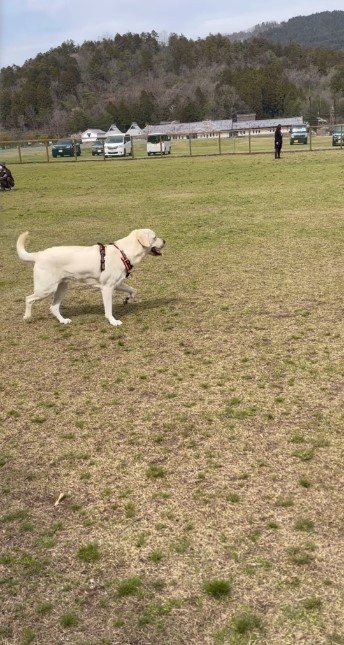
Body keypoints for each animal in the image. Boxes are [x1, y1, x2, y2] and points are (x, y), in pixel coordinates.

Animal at [17, 228, 165, 328]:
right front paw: (113, 321)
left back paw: (63, 321)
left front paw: (127, 299)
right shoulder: (107, 288)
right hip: (46, 289)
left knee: (53, 307)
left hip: (62, 287)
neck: (123, 253)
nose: (165, 241)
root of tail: (38, 254)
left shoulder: (116, 284)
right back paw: (27, 317)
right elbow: (108, 309)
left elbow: (133, 290)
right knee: (28, 299)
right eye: (155, 237)